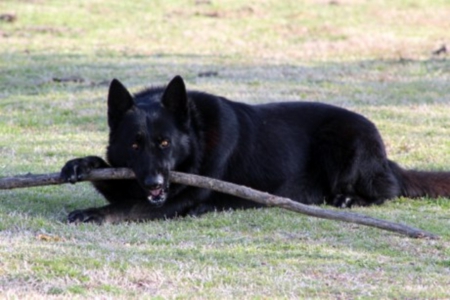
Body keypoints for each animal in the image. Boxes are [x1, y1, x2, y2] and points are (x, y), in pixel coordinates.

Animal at [60, 76, 450, 224]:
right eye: (134, 144)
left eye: (165, 143)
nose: (155, 183)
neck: (195, 135)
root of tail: (386, 158)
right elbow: (109, 177)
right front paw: (80, 164)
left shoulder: (178, 201)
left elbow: (128, 206)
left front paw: (93, 213)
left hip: (344, 145)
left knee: (388, 190)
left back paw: (350, 200)